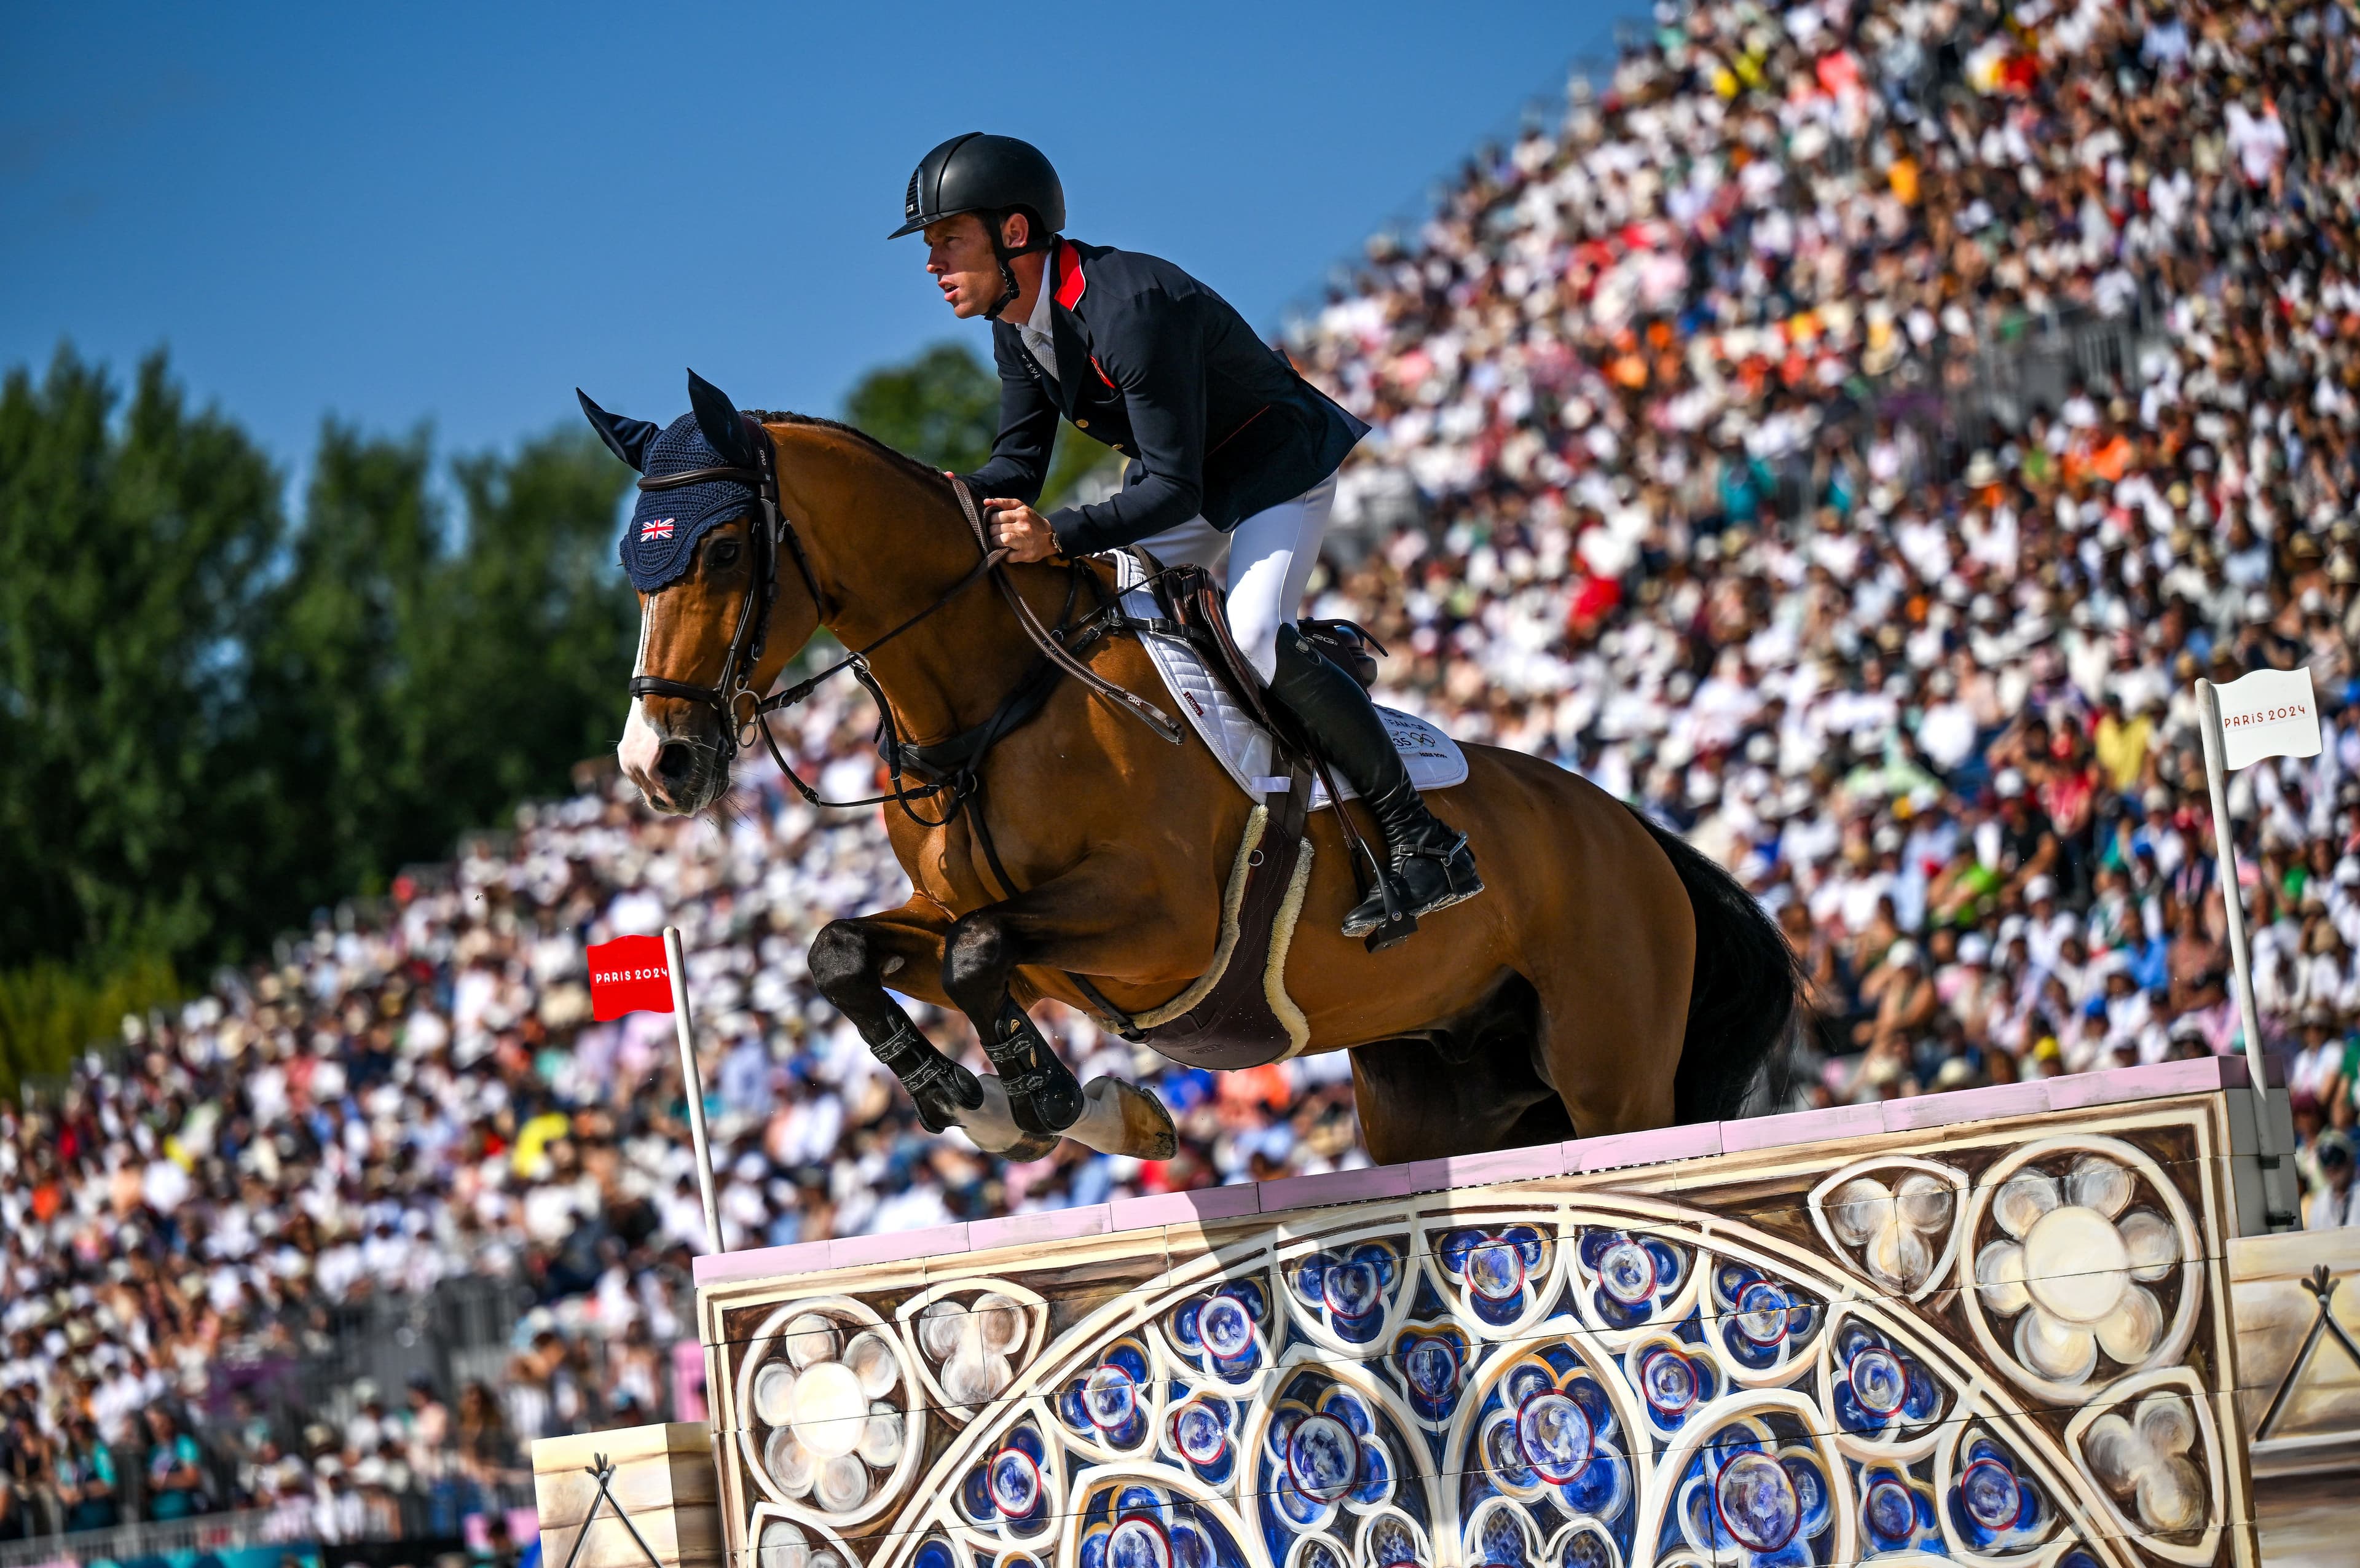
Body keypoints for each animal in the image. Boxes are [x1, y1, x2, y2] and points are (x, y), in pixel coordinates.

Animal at [590, 377, 1784, 1160]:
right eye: (635, 569)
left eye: (725, 550)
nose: (658, 764)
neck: (994, 702)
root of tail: (1633, 830)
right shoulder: (1013, 940)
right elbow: (845, 952)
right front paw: (979, 1103)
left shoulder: (1161, 923)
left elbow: (978, 956)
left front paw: (1054, 1103)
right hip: (1441, 1100)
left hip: (1613, 1076)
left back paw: (1424, 865)